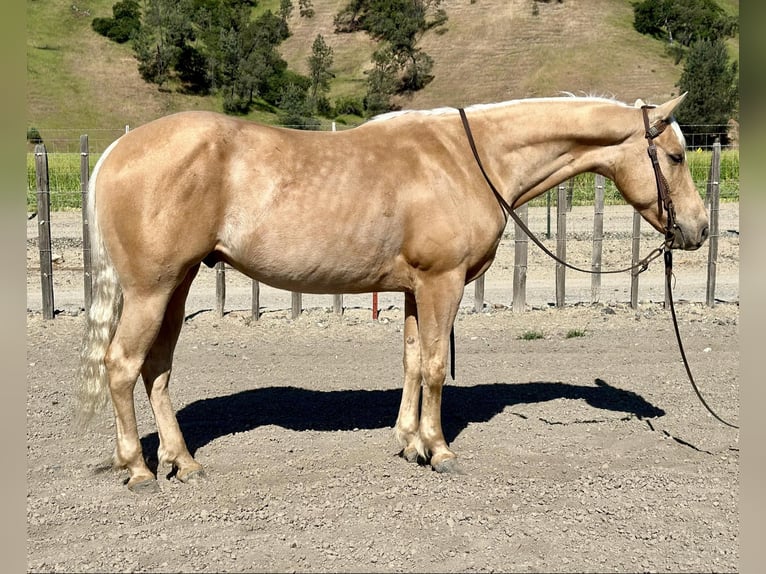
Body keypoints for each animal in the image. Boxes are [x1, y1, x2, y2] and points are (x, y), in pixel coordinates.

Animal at [76, 97, 708, 492]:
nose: (698, 229)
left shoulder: (412, 288)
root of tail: (114, 155)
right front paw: (439, 449)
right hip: (152, 289)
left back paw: (182, 461)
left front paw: (407, 442)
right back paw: (139, 469)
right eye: (677, 156)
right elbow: (433, 366)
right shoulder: (441, 282)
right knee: (122, 365)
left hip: (177, 286)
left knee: (156, 369)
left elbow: (409, 362)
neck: (469, 159)